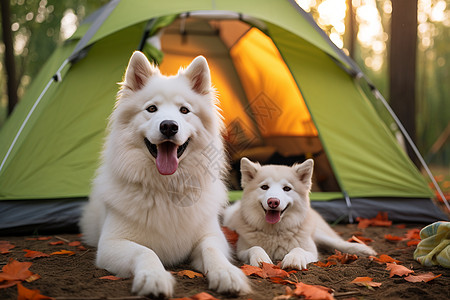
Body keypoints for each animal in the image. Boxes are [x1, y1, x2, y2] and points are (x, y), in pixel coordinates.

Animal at [79, 52, 251, 298]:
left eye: (184, 110)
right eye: (152, 109)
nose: (169, 126)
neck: (167, 186)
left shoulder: (211, 236)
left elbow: (212, 251)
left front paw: (227, 274)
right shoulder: (112, 243)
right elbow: (145, 252)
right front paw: (154, 278)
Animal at [222, 157, 376, 270]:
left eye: (287, 188)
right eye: (264, 187)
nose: (273, 202)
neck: (275, 233)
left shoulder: (312, 252)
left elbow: (299, 249)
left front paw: (293, 259)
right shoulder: (241, 250)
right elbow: (255, 247)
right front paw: (261, 259)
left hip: (318, 234)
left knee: (337, 242)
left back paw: (363, 250)